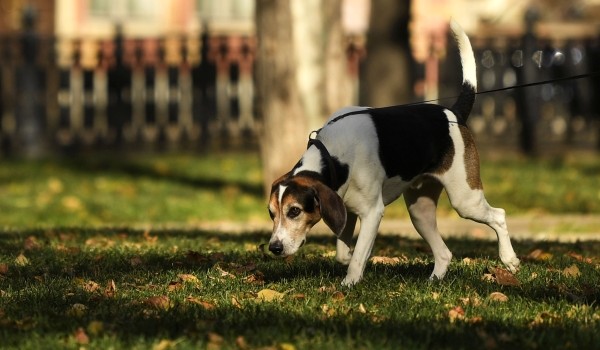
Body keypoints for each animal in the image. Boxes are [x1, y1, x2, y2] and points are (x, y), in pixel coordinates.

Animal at [268, 20, 520, 286]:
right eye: (271, 213)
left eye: (294, 211)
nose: (274, 247)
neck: (334, 156)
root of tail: (452, 113)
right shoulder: (345, 208)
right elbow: (344, 253)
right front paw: (352, 260)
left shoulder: (372, 213)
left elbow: (357, 256)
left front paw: (349, 283)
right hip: (420, 212)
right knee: (444, 253)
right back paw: (434, 281)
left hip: (465, 200)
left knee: (499, 215)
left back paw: (509, 259)